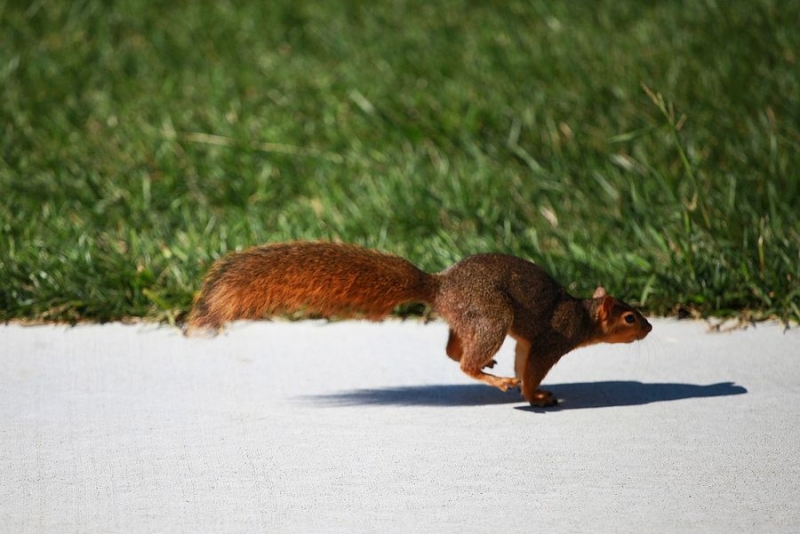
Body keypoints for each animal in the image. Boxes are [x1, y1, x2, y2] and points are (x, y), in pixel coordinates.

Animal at [186, 241, 648, 408]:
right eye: (629, 317)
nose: (649, 329)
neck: (581, 313)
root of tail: (439, 286)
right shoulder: (552, 340)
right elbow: (531, 369)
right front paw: (534, 395)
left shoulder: (530, 341)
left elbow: (523, 358)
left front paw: (535, 392)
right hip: (492, 315)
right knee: (462, 361)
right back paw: (493, 378)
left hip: (472, 318)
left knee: (451, 349)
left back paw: (488, 366)